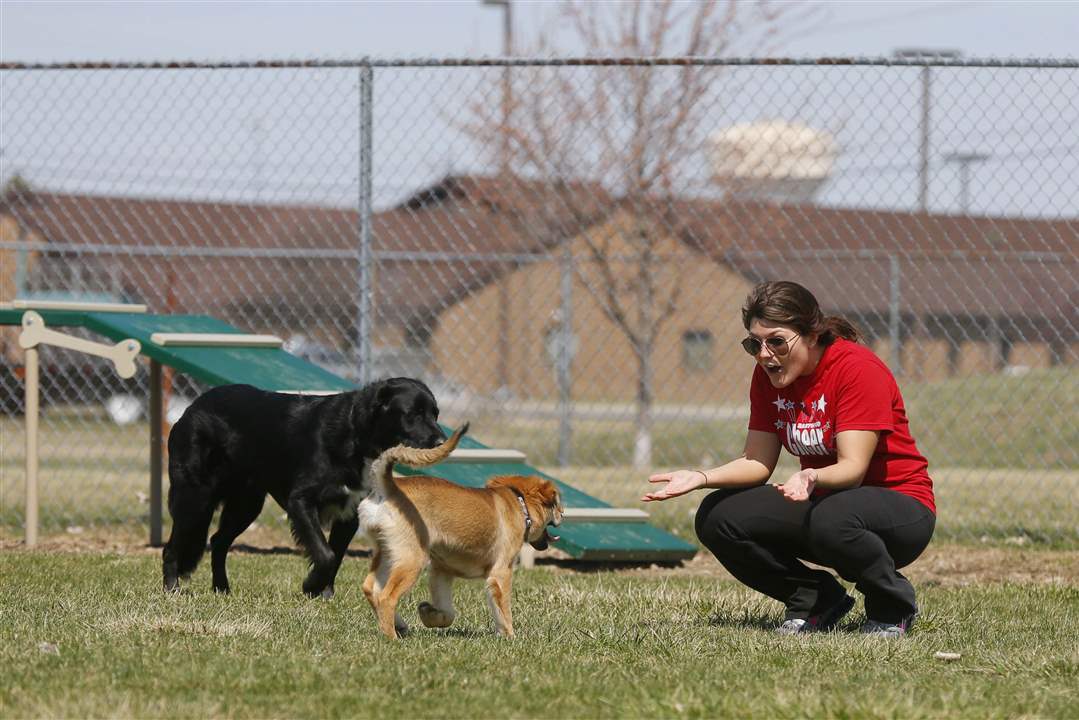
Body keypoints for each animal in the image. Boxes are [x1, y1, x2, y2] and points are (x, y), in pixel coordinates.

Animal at [160, 379, 446, 600]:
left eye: (435, 414)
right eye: (412, 413)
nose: (441, 441)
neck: (355, 435)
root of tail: (192, 408)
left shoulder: (349, 513)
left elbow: (336, 555)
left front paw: (324, 594)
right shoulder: (300, 501)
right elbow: (326, 553)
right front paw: (311, 586)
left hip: (246, 505)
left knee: (218, 541)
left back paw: (222, 589)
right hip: (195, 498)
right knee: (172, 547)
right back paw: (172, 589)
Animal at [360, 425, 565, 639]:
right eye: (557, 504)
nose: (563, 513)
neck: (520, 504)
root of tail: (389, 488)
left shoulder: (442, 571)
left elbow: (448, 612)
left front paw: (429, 613)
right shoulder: (501, 572)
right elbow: (503, 610)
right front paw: (510, 636)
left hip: (386, 552)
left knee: (371, 589)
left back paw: (399, 625)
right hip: (412, 558)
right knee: (386, 597)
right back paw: (391, 637)